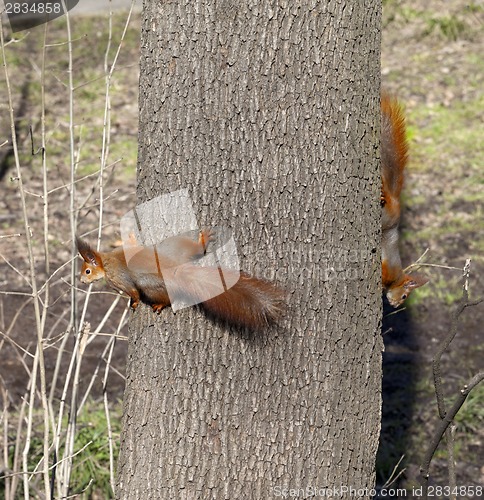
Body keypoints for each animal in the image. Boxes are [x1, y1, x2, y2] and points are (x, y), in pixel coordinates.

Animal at [76, 229, 284, 330]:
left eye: (87, 271)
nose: (81, 282)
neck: (105, 262)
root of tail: (177, 270)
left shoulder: (119, 278)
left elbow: (133, 292)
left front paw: (133, 303)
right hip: (176, 247)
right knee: (195, 250)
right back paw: (202, 240)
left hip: (150, 284)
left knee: (167, 297)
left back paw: (160, 304)